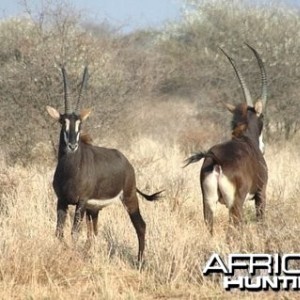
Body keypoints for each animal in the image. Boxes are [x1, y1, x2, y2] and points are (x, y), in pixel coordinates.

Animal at [46, 67, 162, 262]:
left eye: (80, 123)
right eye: (63, 121)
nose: (72, 145)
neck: (69, 170)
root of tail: (126, 163)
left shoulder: (81, 202)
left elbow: (74, 233)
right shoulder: (62, 200)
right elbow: (59, 233)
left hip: (129, 197)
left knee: (140, 225)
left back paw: (140, 261)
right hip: (94, 209)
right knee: (93, 234)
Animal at [184, 44, 268, 236]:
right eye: (263, 118)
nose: (263, 146)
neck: (246, 138)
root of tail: (216, 160)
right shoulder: (261, 192)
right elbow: (261, 221)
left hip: (208, 202)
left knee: (209, 227)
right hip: (235, 203)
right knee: (234, 227)